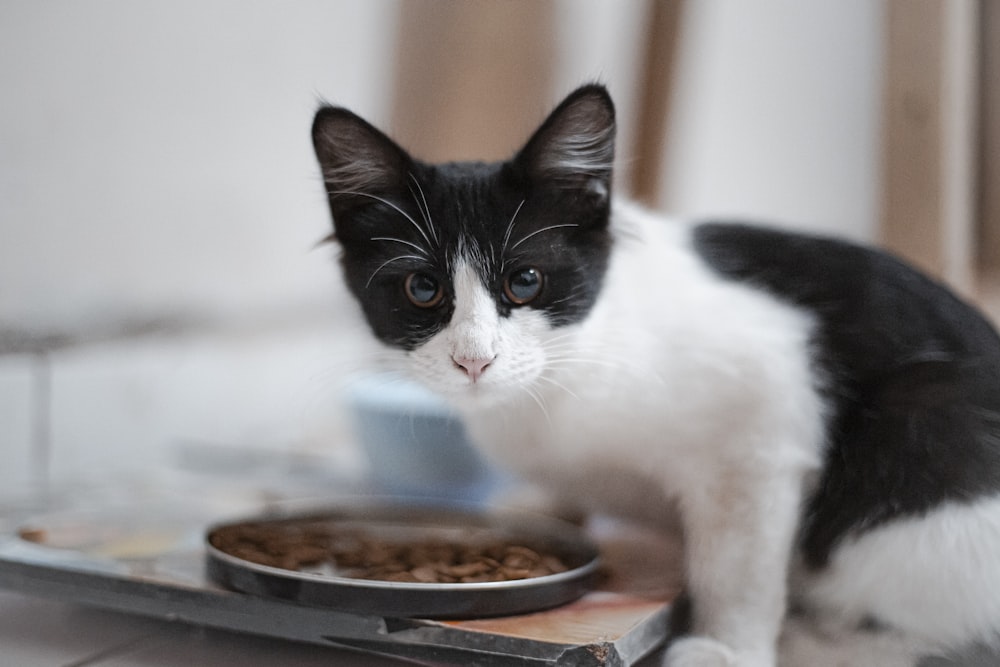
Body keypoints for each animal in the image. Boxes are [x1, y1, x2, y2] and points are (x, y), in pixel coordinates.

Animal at [310, 85, 1000, 667]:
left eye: (525, 281)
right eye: (423, 289)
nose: (474, 360)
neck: (570, 369)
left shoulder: (761, 431)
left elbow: (738, 564)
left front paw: (729, 648)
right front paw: (546, 501)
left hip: (922, 431)